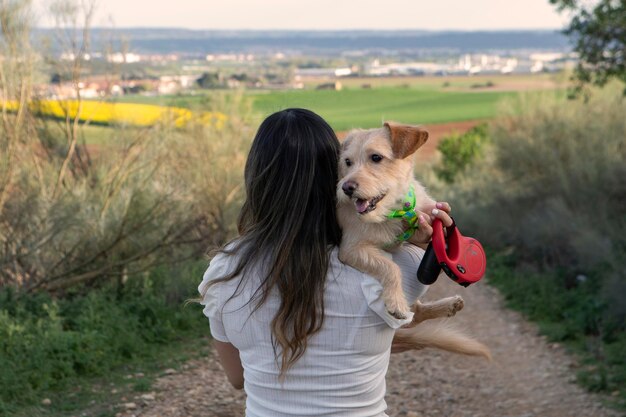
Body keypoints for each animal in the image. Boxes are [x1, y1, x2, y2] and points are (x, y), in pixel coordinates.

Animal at [336, 120, 488, 358]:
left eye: (376, 157)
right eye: (347, 162)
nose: (346, 188)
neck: (392, 212)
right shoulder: (352, 248)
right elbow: (390, 266)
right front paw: (396, 302)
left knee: (416, 313)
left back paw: (449, 305)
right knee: (413, 316)